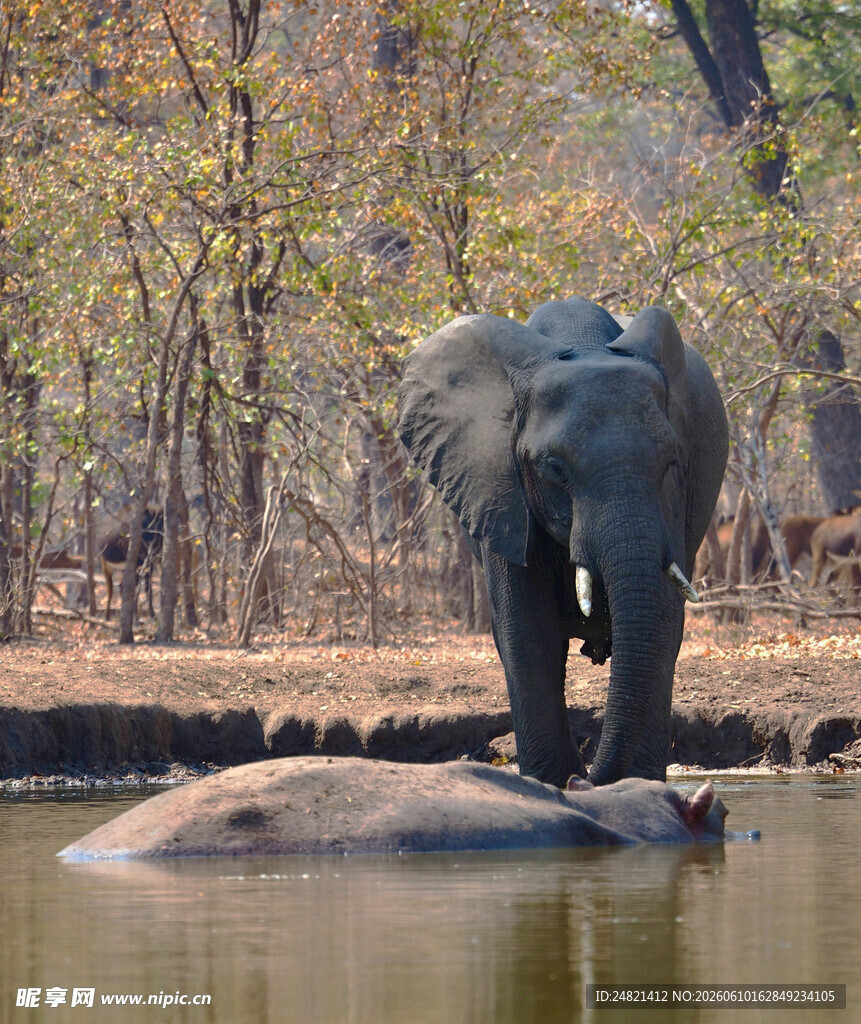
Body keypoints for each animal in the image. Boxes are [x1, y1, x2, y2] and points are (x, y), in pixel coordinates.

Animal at [398, 298, 727, 787]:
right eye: (554, 468)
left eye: (671, 460)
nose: (586, 777)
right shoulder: (499, 487)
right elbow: (528, 633)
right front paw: (552, 783)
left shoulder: (675, 496)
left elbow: (664, 623)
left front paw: (637, 786)